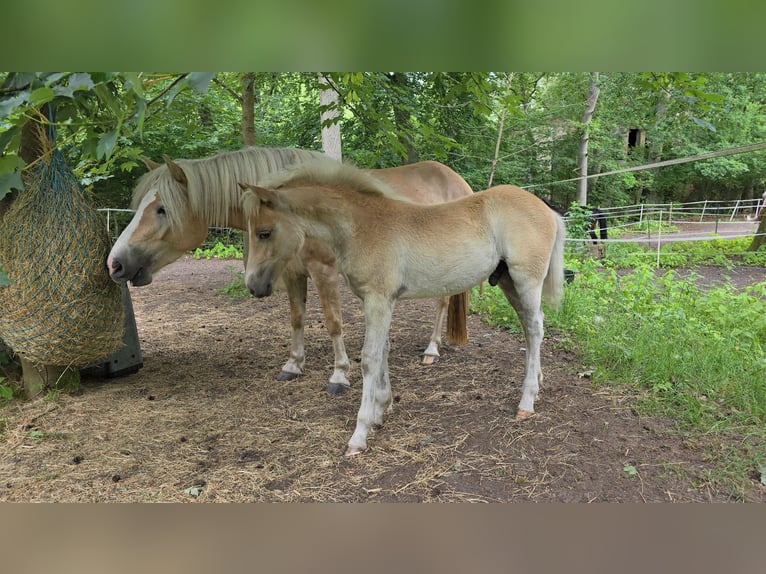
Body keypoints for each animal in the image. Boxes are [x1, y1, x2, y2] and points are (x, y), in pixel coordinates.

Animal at [107, 146, 474, 394]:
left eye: (161, 209)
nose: (115, 263)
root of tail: (459, 182)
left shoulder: (324, 271)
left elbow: (333, 322)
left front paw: (339, 375)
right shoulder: (291, 273)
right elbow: (297, 318)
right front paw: (293, 365)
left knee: (442, 302)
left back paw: (431, 350)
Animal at [242, 160, 568, 456]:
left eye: (264, 232)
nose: (254, 285)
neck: (361, 226)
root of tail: (546, 208)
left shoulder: (378, 299)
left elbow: (370, 358)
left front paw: (360, 433)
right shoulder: (377, 301)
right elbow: (383, 352)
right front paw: (381, 410)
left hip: (526, 280)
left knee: (535, 328)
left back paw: (526, 401)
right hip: (509, 282)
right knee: (530, 326)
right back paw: (537, 382)